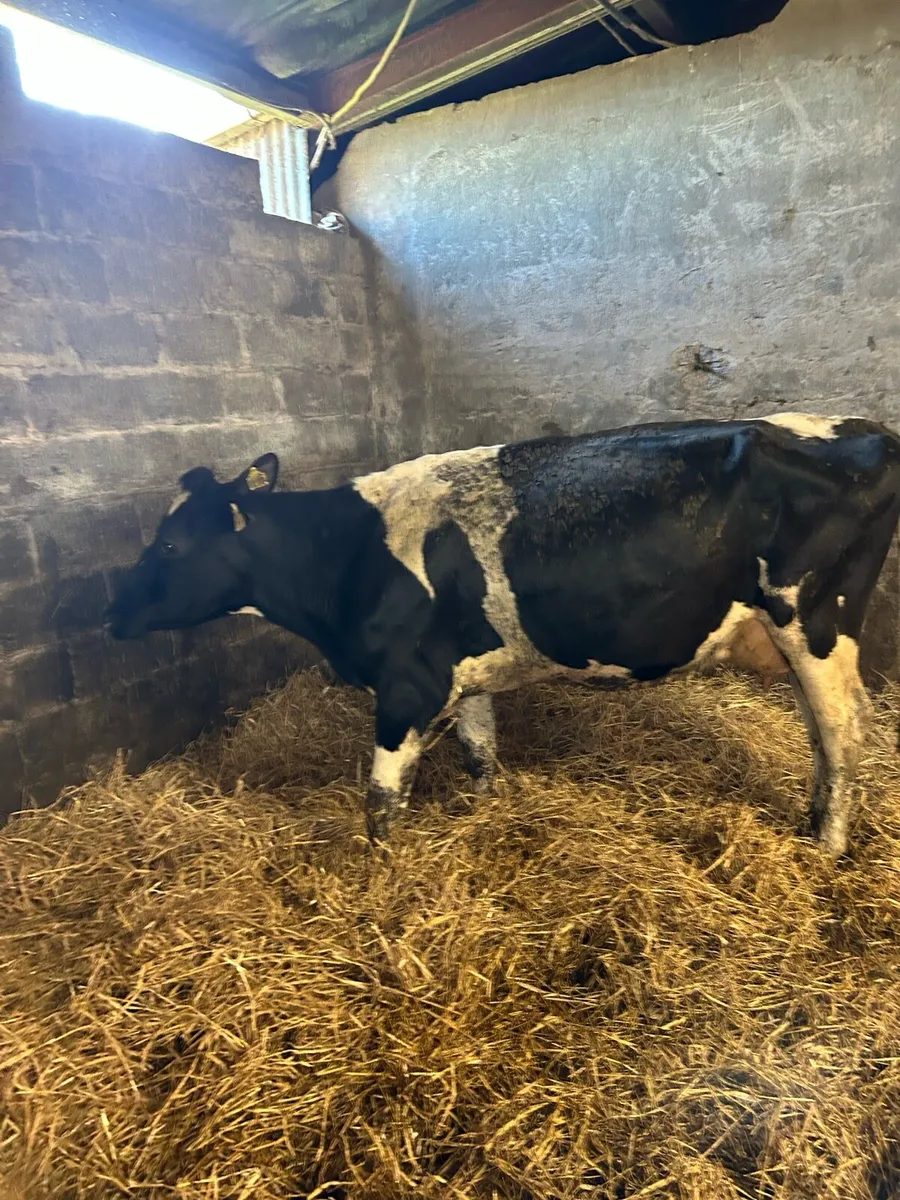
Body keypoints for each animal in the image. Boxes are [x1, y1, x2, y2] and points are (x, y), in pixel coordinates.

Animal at [105, 414, 900, 857]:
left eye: (170, 545)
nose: (111, 615)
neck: (348, 553)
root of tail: (862, 429)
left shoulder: (407, 685)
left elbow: (380, 802)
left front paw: (376, 880)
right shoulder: (465, 674)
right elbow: (481, 755)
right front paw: (487, 819)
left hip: (815, 620)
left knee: (843, 732)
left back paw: (826, 848)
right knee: (824, 732)